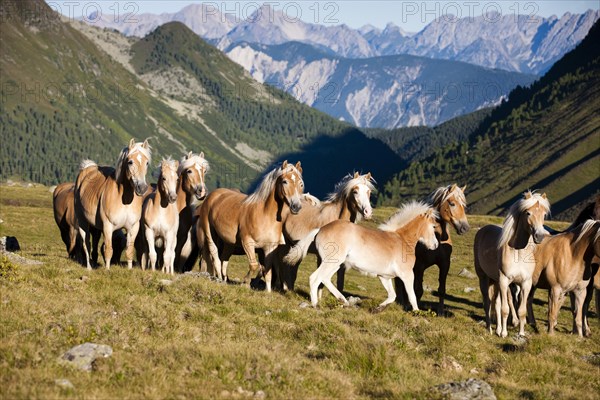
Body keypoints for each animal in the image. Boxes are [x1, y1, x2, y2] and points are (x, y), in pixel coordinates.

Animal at [74, 139, 151, 270]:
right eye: (130, 162)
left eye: (146, 163)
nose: (142, 188)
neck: (124, 200)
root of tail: (86, 169)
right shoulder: (108, 227)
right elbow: (108, 250)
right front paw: (107, 270)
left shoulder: (133, 228)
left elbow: (129, 251)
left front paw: (129, 270)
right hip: (82, 221)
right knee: (86, 243)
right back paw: (89, 267)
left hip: (96, 227)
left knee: (94, 243)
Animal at [199, 161, 304, 292]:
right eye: (284, 181)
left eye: (301, 183)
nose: (296, 206)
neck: (265, 215)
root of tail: (213, 195)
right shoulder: (248, 243)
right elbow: (255, 266)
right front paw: (245, 282)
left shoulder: (269, 248)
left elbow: (267, 271)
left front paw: (267, 291)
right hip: (209, 234)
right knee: (215, 256)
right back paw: (218, 278)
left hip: (229, 243)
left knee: (224, 259)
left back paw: (224, 280)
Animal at [308, 200, 438, 310]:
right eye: (433, 227)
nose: (435, 245)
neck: (403, 240)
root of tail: (321, 229)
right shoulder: (407, 275)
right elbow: (412, 296)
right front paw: (416, 312)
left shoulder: (384, 277)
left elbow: (392, 296)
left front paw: (378, 309)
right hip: (331, 263)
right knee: (315, 278)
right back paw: (316, 305)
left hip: (335, 264)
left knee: (325, 279)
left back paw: (343, 301)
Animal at [396, 184, 472, 316]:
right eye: (452, 203)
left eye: (464, 205)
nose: (465, 228)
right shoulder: (419, 266)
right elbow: (418, 290)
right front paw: (415, 309)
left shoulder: (445, 264)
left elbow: (441, 290)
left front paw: (441, 313)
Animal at [476, 192, 552, 336]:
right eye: (528, 213)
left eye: (544, 214)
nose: (539, 236)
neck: (518, 253)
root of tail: (482, 230)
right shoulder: (504, 281)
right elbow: (505, 309)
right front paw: (504, 333)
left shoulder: (525, 283)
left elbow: (521, 311)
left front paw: (521, 333)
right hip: (484, 278)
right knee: (487, 303)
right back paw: (490, 328)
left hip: (495, 281)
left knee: (496, 303)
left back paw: (498, 328)